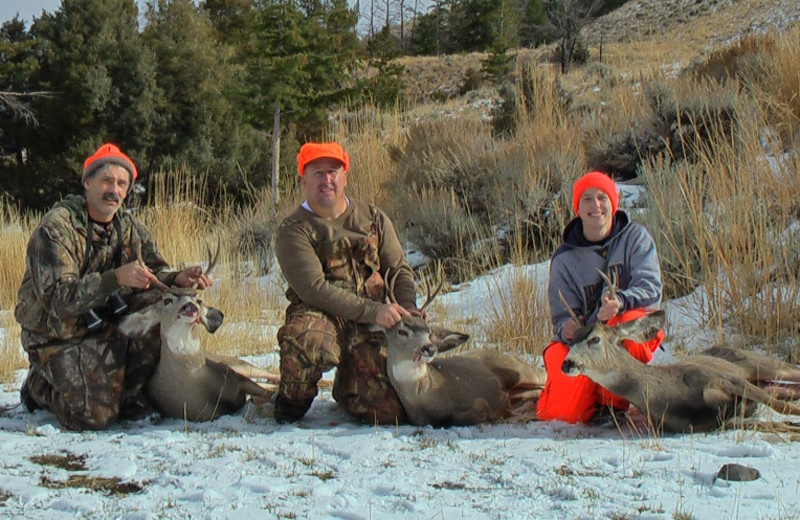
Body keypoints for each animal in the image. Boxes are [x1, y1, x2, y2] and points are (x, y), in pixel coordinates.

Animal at [119, 244, 278, 422]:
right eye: (167, 300)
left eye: (198, 300)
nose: (190, 306)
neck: (196, 379)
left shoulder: (234, 377)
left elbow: (267, 393)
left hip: (236, 363)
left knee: (269, 376)